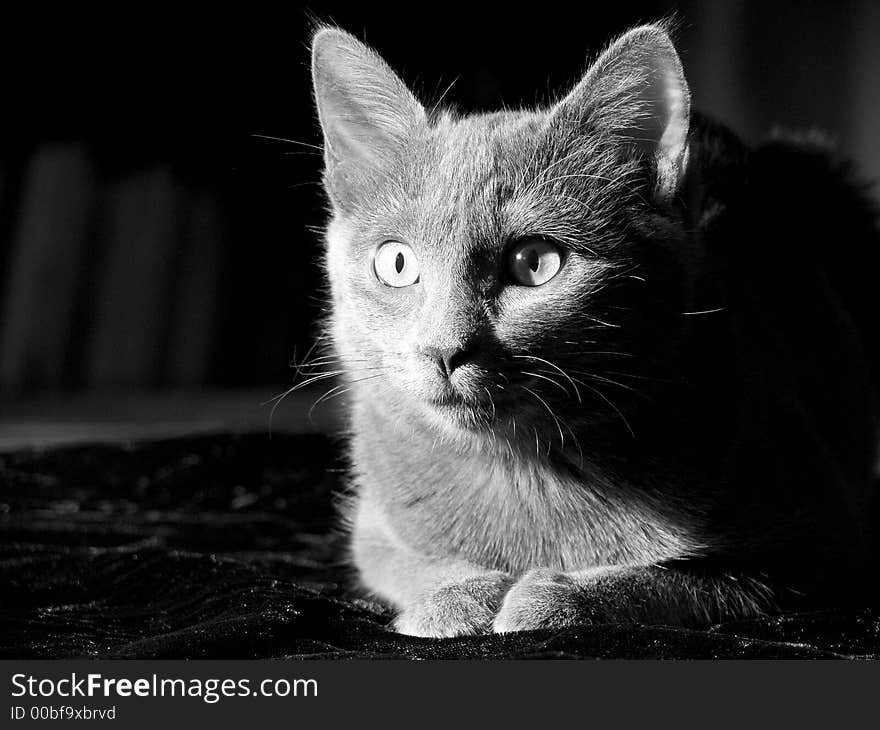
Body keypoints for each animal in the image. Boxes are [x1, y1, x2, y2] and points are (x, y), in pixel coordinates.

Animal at [306, 22, 876, 636]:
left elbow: (683, 580)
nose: (444, 349)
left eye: (535, 262)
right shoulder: (372, 526)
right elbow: (406, 560)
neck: (521, 467)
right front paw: (456, 596)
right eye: (396, 264)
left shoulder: (826, 538)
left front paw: (550, 596)